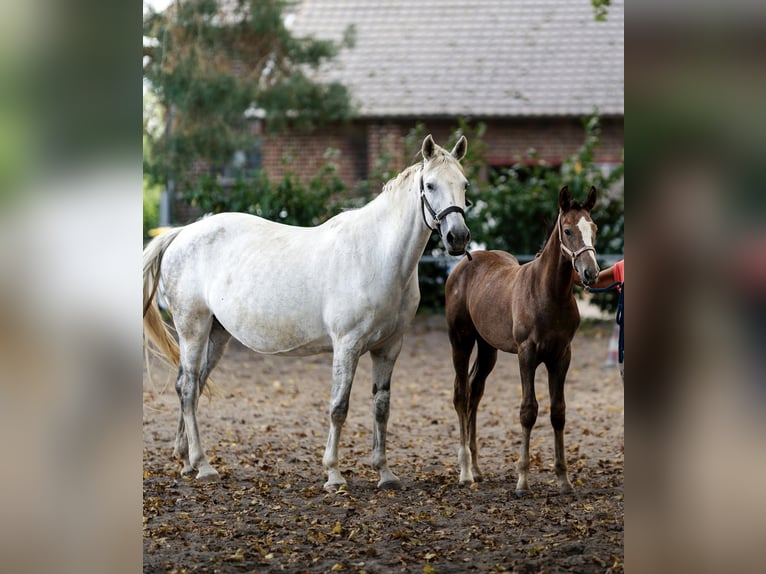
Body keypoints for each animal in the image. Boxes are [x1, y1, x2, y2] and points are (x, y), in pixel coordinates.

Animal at [141, 134, 472, 490]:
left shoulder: (388, 348)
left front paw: (384, 473)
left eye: (464, 184)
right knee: (189, 388)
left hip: (216, 334)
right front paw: (334, 474)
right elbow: (339, 407)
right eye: (430, 185)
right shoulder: (347, 345)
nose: (457, 237)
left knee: (192, 385)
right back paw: (203, 465)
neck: (377, 255)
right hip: (193, 328)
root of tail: (182, 232)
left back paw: (186, 460)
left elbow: (381, 407)